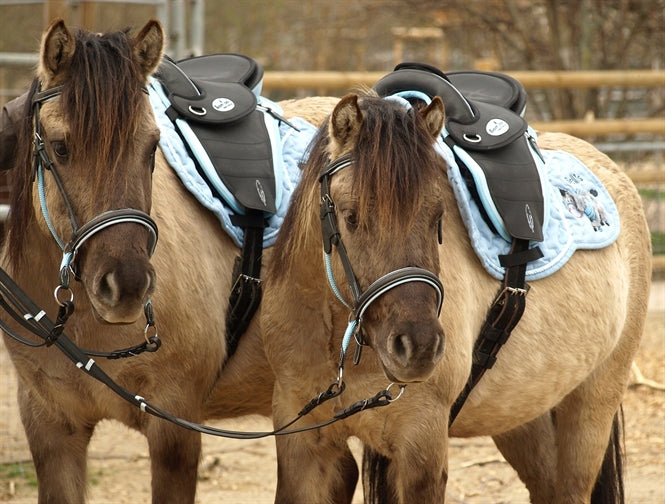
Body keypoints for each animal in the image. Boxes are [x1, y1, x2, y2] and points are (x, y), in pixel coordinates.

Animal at [261, 91, 652, 503]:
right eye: (351, 217)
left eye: (438, 217)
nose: (418, 347)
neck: (336, 338)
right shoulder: (305, 448)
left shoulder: (421, 445)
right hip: (521, 412)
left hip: (593, 404)